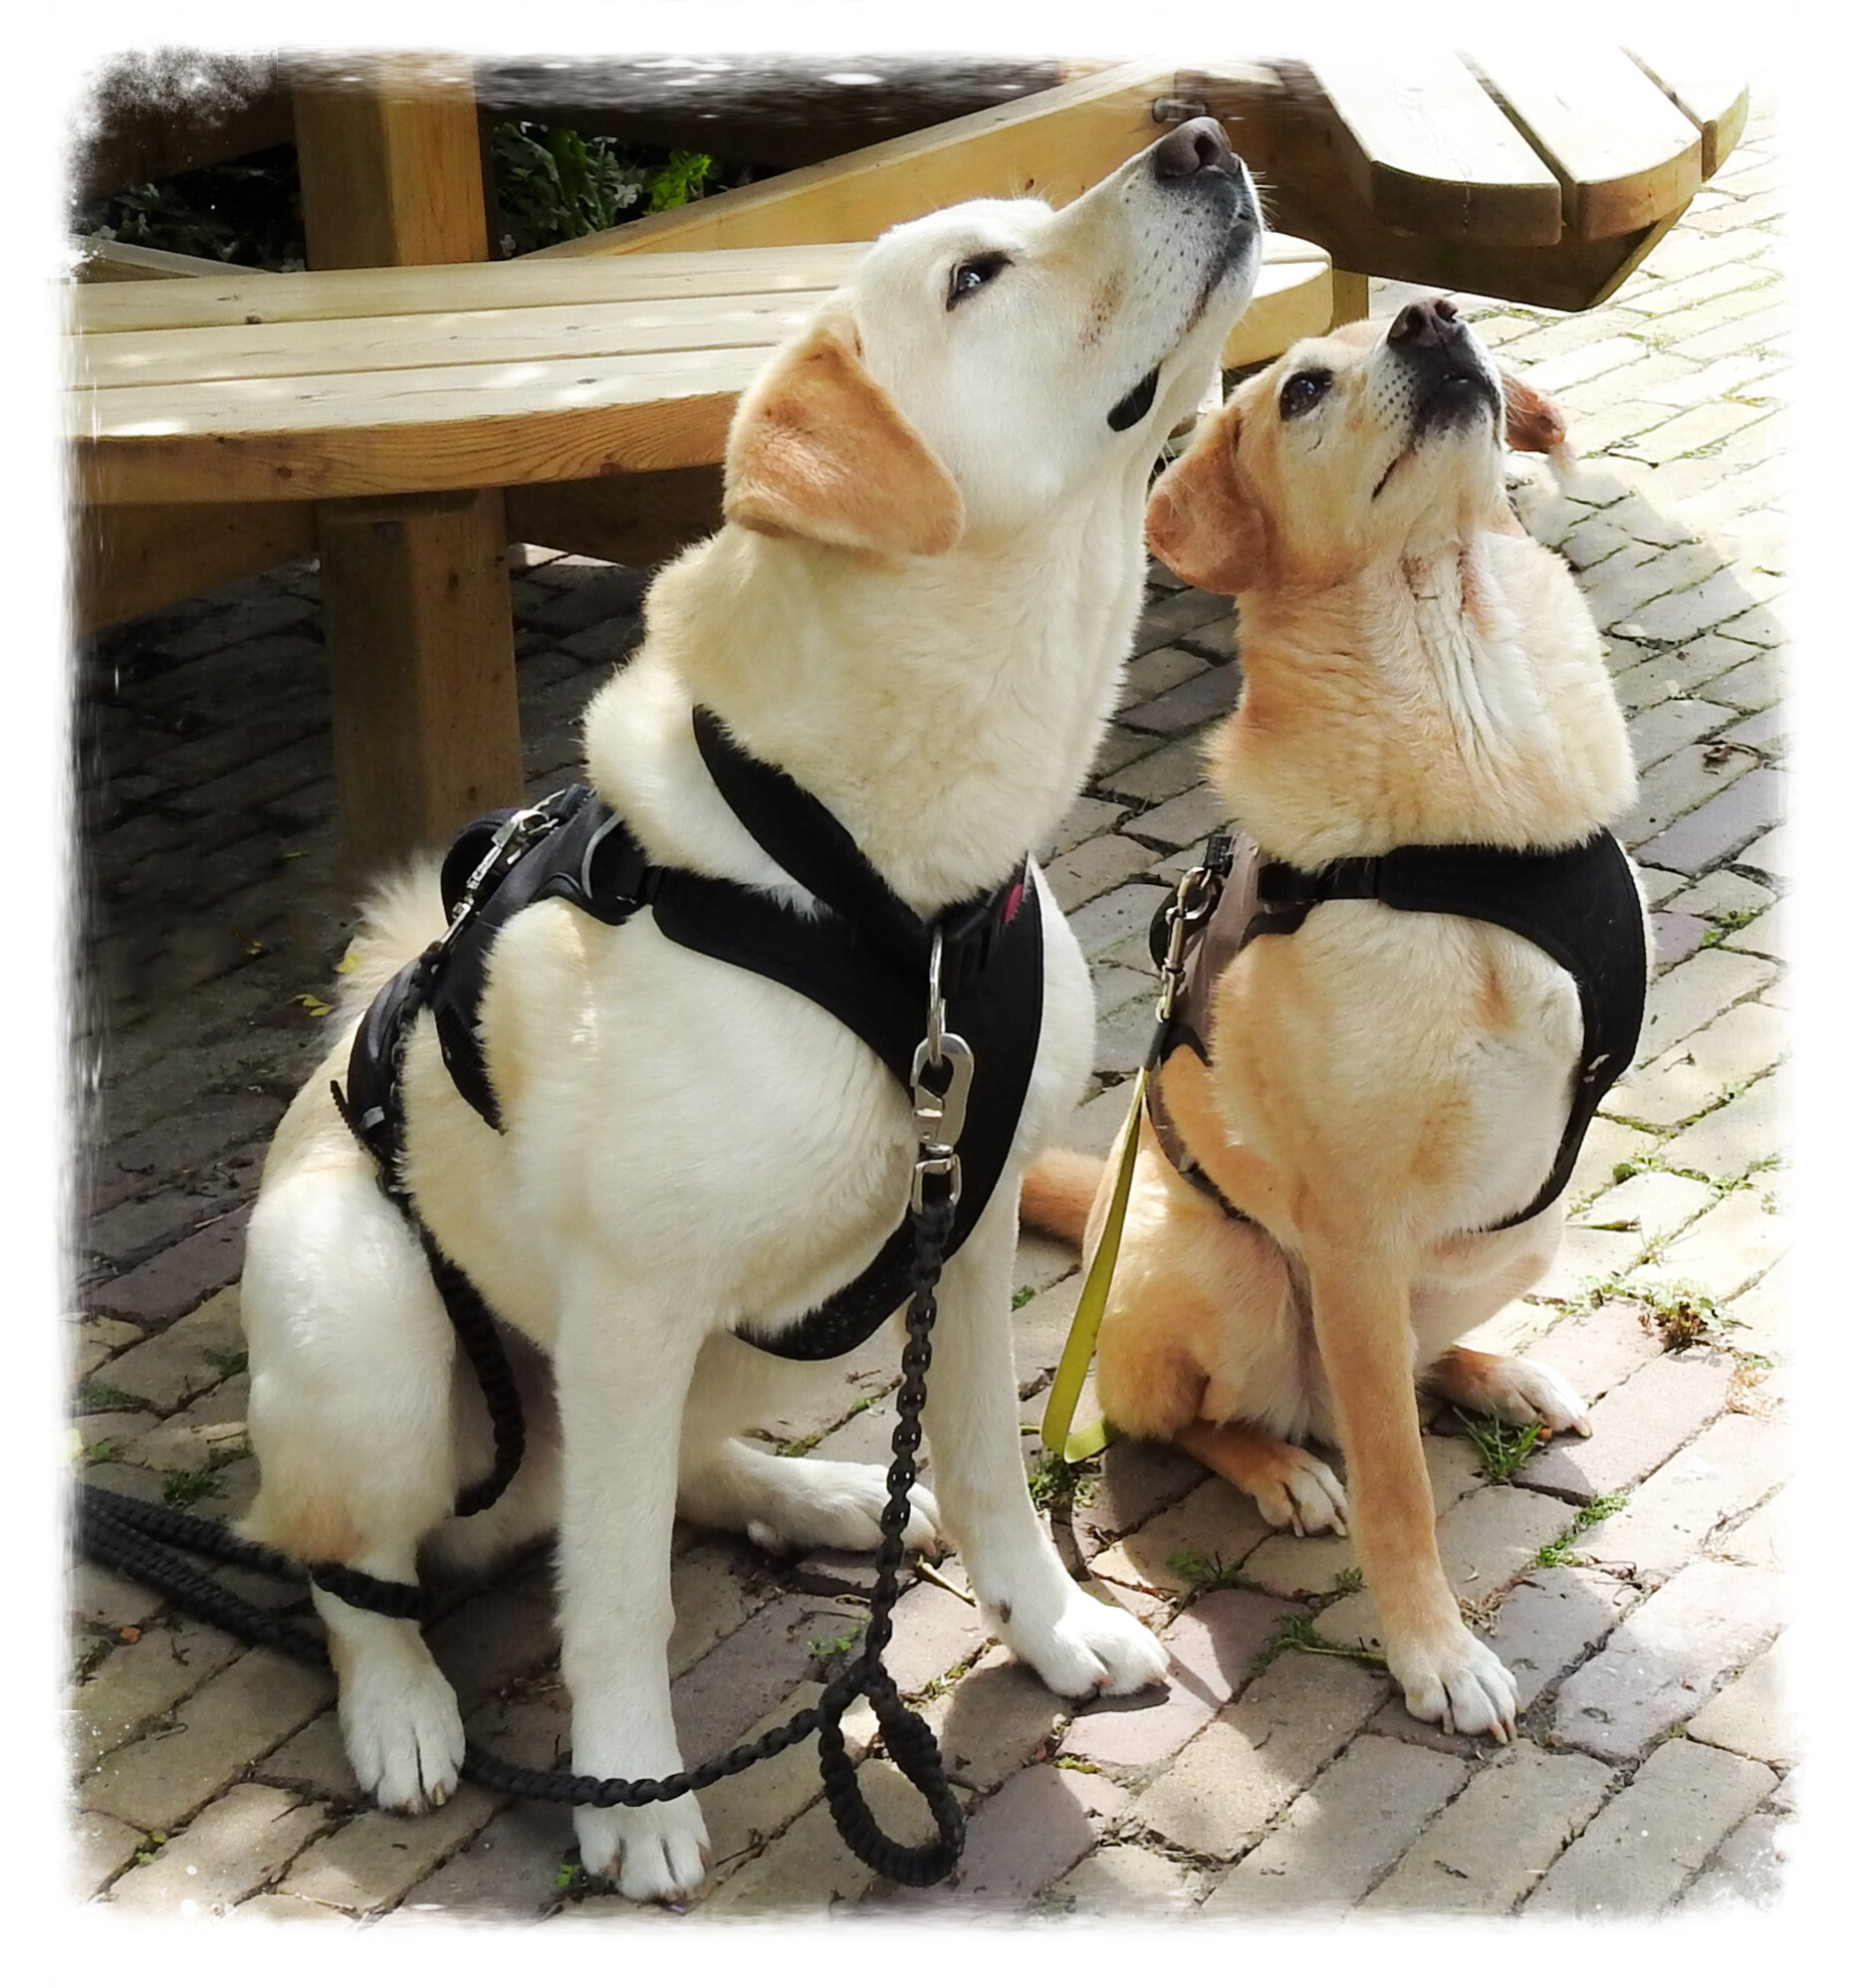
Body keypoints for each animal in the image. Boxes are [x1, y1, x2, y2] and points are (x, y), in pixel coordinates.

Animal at [235, 120, 1262, 1901]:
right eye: (973, 276)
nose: (1200, 134)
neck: (890, 894)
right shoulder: (630, 1300)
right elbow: (615, 1597)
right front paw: (626, 1791)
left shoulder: (968, 1227)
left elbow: (981, 1461)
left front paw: (1046, 1627)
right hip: (362, 1312)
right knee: (360, 1565)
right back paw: (406, 1712)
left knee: (669, 1485)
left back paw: (829, 1499)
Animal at [1023, 300, 1644, 1743]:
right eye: (1301, 388)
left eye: (1435, 314)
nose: (1430, 316)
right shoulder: (1352, 1232)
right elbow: (1396, 1486)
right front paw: (1432, 1652)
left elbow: (1397, 1422)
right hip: (1235, 1273)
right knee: (1210, 1418)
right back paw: (1279, 1467)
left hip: (1519, 1233)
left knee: (1415, 1365)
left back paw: (1494, 1372)